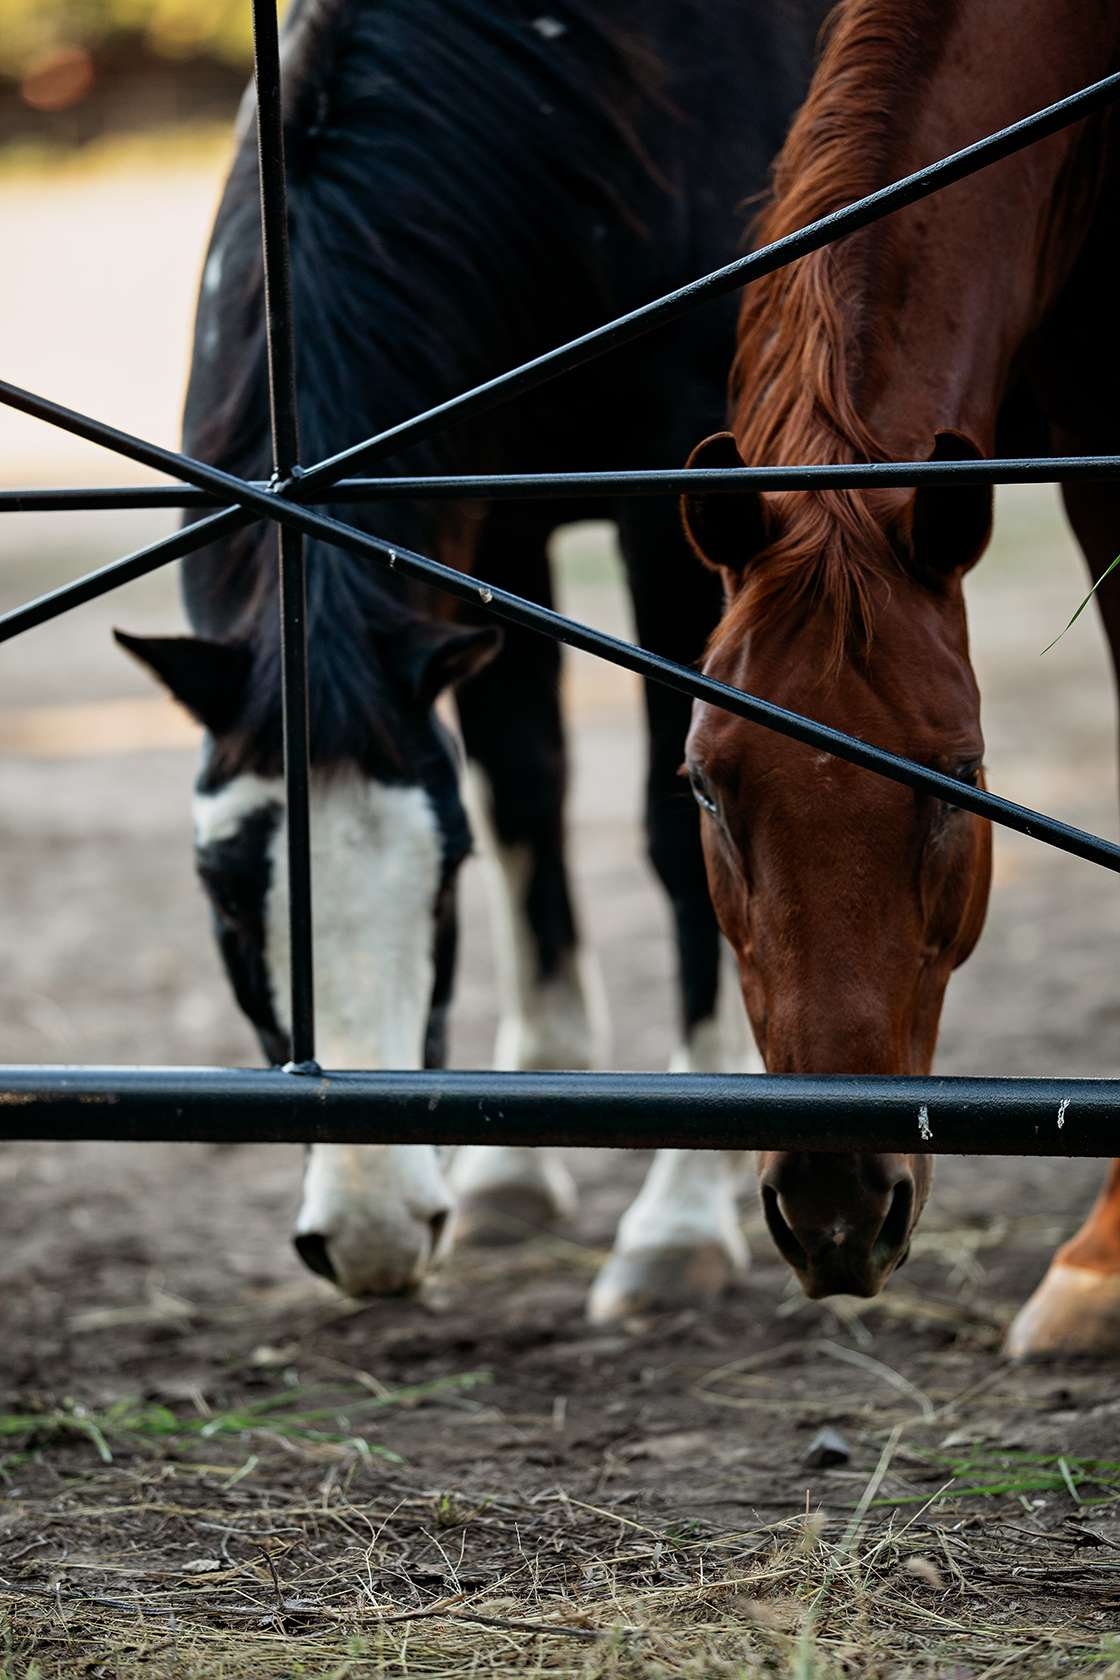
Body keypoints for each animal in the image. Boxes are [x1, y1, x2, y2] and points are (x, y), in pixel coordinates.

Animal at [116, 0, 830, 1316]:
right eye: (226, 894)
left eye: (437, 882)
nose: (372, 1232)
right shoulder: (490, 531)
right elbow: (525, 797)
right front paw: (513, 1162)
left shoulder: (679, 522)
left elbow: (680, 828)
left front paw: (679, 1216)